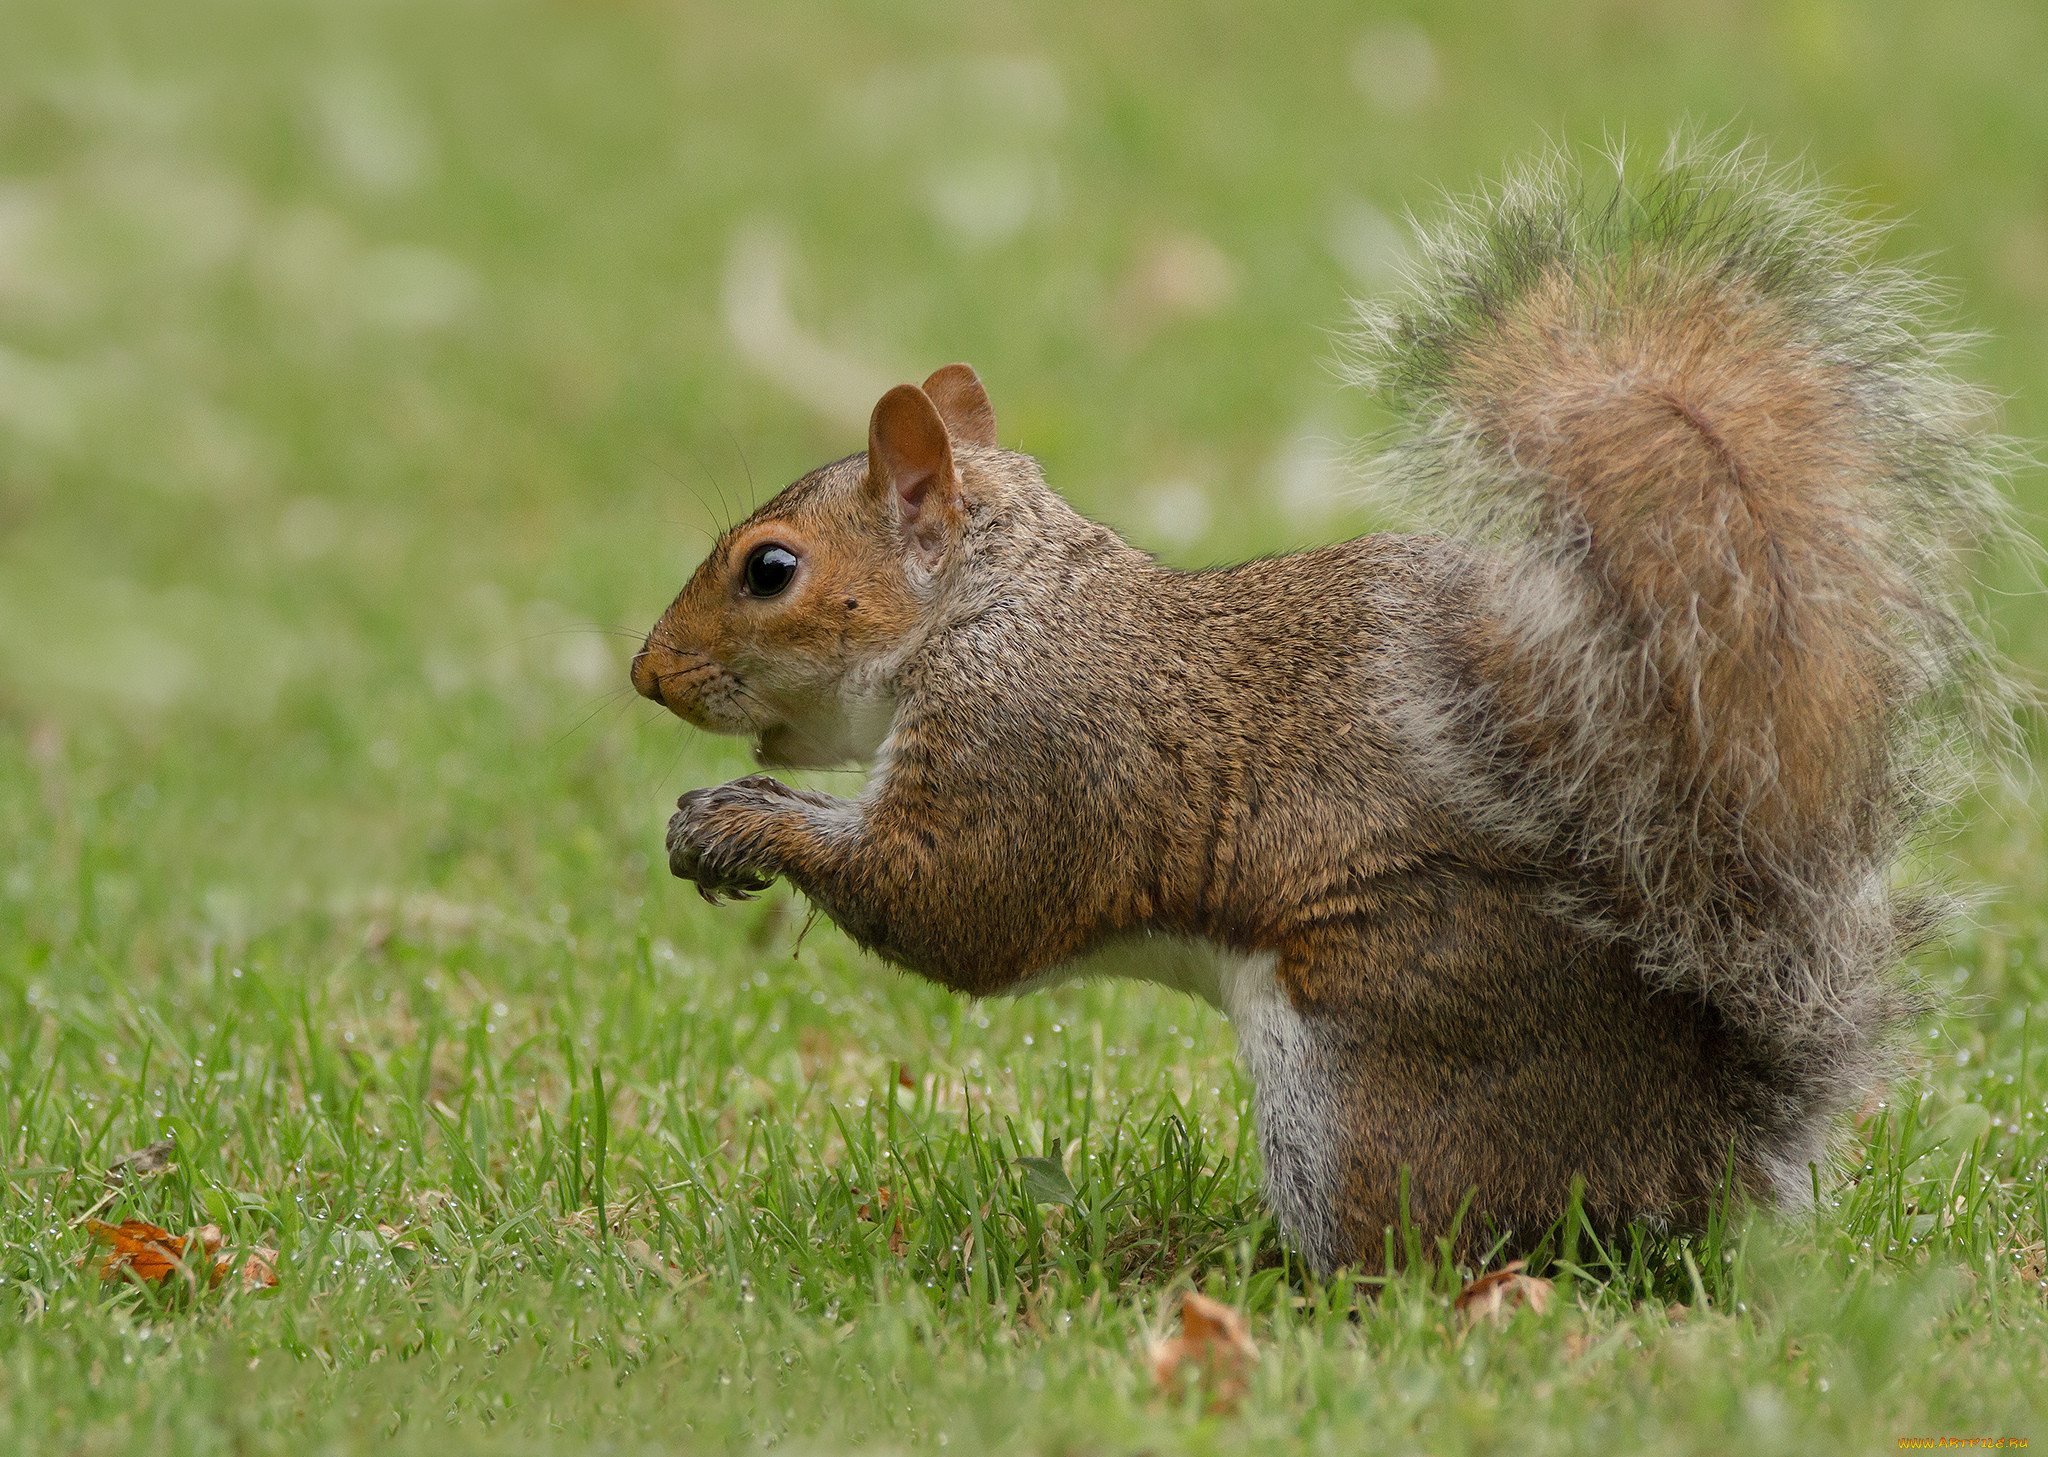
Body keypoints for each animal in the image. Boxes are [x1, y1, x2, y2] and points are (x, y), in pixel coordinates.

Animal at [630, 142, 2007, 1270]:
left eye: (769, 568)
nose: (645, 672)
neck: (991, 605)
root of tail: (1700, 1161)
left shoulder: (1027, 749)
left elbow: (956, 905)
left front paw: (742, 818)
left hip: (1364, 1065)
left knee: (1424, 1251)